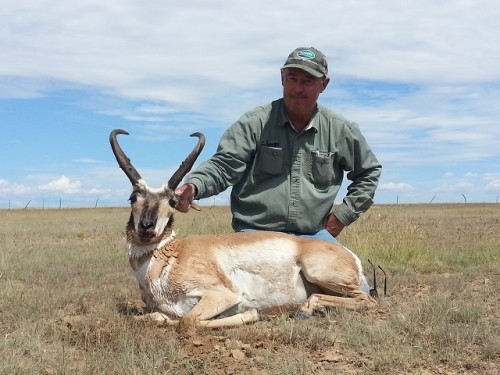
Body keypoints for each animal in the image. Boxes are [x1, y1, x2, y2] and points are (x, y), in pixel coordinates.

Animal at [108, 130, 376, 328]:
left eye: (172, 202)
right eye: (133, 197)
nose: (146, 228)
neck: (172, 254)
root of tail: (350, 256)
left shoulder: (222, 295)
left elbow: (188, 320)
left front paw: (250, 314)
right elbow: (152, 318)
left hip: (318, 272)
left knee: (367, 300)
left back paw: (306, 309)